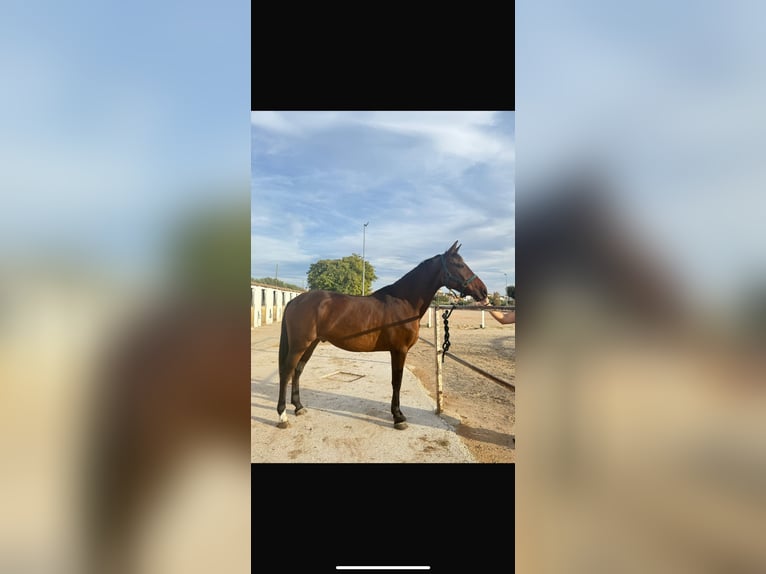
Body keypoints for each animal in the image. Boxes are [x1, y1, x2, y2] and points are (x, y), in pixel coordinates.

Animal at [277, 240, 489, 430]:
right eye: (459, 264)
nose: (483, 291)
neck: (404, 302)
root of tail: (295, 300)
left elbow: (396, 382)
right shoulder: (399, 350)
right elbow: (397, 382)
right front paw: (398, 417)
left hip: (310, 344)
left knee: (297, 370)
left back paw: (299, 407)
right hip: (299, 345)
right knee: (286, 372)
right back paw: (282, 416)